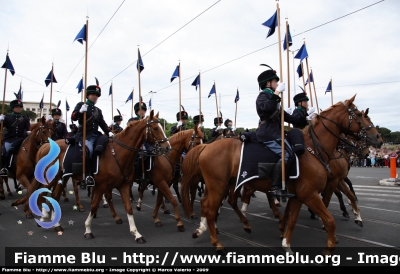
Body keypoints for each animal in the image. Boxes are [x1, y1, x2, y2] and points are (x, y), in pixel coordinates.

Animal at [180, 96, 382, 255]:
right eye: (359, 115)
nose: (378, 138)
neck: (313, 148)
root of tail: (205, 146)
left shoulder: (301, 195)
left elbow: (292, 219)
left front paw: (286, 243)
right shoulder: (313, 192)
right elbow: (330, 219)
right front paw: (329, 247)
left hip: (224, 185)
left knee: (213, 204)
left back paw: (210, 229)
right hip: (218, 186)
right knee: (211, 208)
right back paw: (218, 242)